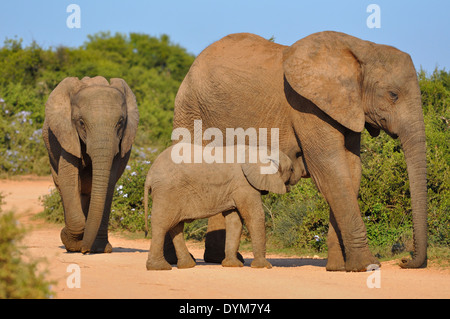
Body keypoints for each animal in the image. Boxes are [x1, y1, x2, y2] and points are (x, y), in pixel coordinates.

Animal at [44, 76, 140, 254]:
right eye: (81, 123)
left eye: (120, 123)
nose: (84, 250)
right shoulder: (67, 135)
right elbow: (68, 180)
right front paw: (72, 243)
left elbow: (109, 182)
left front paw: (94, 247)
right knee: (63, 186)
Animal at [144, 144, 298, 272]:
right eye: (291, 169)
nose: (295, 181)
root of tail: (149, 174)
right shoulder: (244, 184)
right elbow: (254, 216)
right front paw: (264, 266)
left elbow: (234, 221)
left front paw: (232, 265)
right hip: (167, 191)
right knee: (162, 225)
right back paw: (159, 268)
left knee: (176, 226)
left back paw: (187, 266)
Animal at [171, 31, 428, 272]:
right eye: (393, 95)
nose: (405, 260)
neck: (361, 48)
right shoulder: (307, 106)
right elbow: (330, 169)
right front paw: (366, 266)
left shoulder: (346, 108)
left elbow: (351, 171)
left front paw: (338, 268)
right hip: (192, 109)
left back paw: (222, 261)